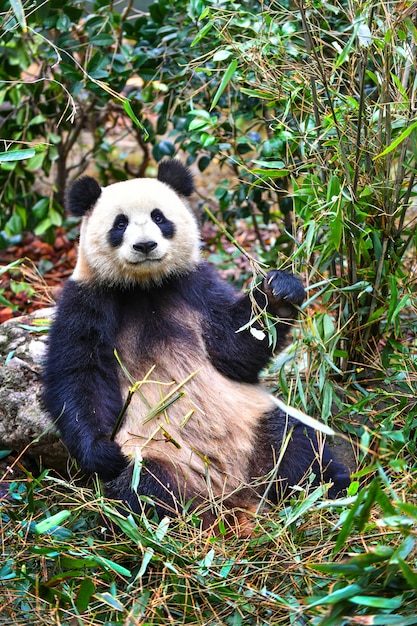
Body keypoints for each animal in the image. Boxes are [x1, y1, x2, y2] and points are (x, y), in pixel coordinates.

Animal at [43, 156, 348, 528]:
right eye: (120, 223)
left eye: (159, 218)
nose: (145, 246)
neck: (145, 287)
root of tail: (231, 490)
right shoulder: (88, 300)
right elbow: (78, 375)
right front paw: (101, 451)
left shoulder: (196, 287)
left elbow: (234, 348)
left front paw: (280, 291)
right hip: (161, 455)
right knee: (143, 492)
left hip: (254, 422)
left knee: (297, 446)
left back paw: (334, 493)